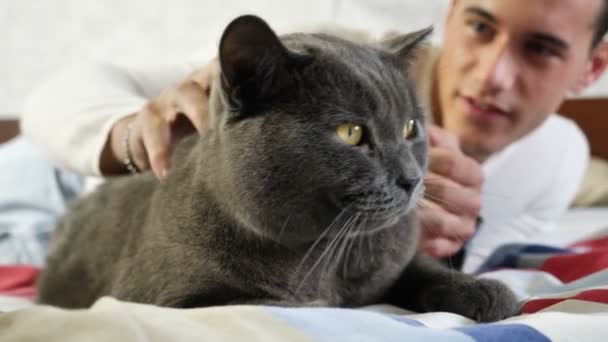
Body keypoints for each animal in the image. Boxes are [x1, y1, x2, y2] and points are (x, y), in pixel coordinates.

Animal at [38, 15, 520, 320]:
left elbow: (420, 269)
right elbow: (264, 304)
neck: (326, 259)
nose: (412, 179)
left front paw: (487, 292)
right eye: (350, 133)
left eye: (411, 128)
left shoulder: (395, 261)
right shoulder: (167, 300)